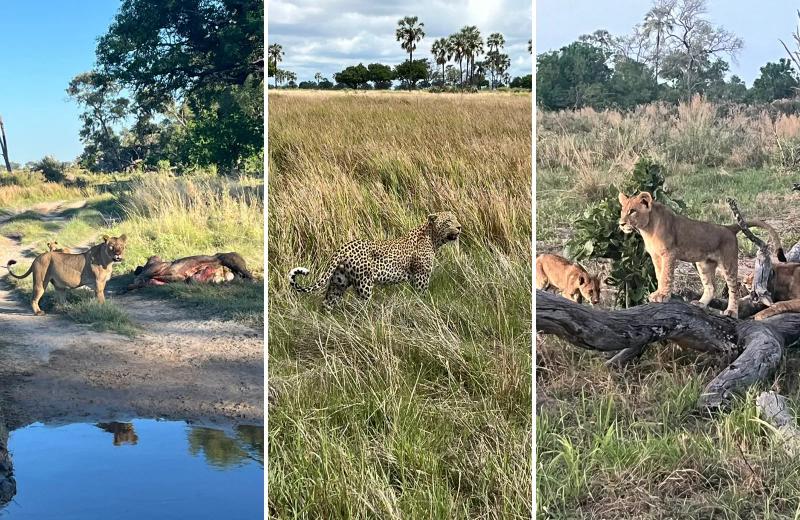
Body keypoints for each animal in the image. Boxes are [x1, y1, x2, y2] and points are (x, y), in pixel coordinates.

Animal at [288, 212, 461, 309]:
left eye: (455, 219)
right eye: (448, 221)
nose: (459, 227)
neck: (433, 239)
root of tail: (343, 248)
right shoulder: (420, 277)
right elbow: (422, 295)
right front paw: (424, 307)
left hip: (339, 282)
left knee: (328, 303)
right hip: (364, 283)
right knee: (362, 306)